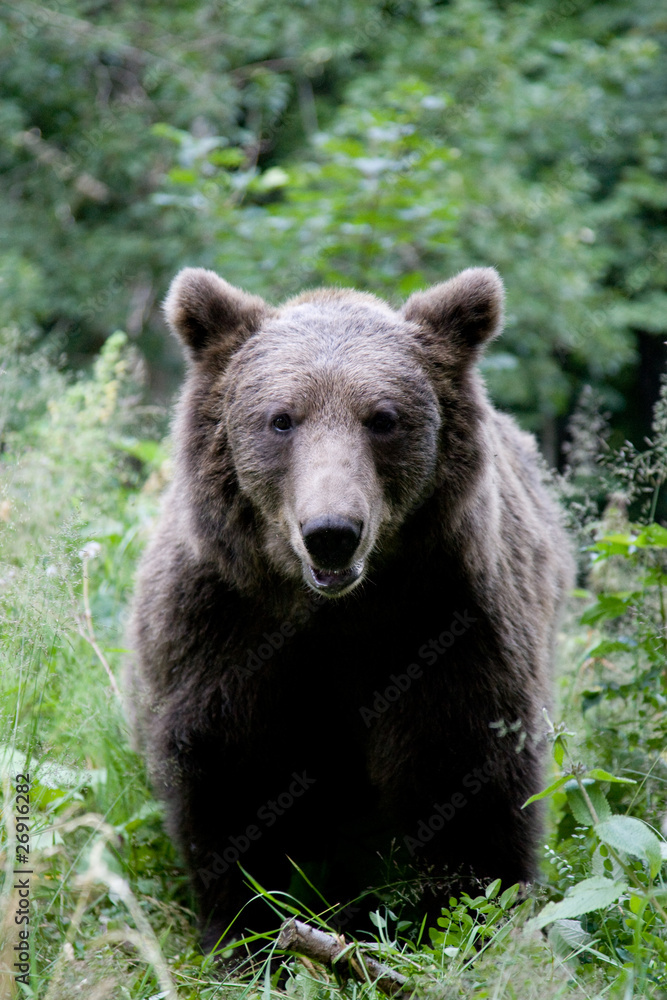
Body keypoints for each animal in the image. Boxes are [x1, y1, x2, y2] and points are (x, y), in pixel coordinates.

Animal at [125, 265, 573, 951]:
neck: (335, 612)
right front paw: (246, 933)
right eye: (282, 419)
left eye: (382, 418)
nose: (332, 532)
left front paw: (468, 922)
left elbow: (467, 771)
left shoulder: (447, 620)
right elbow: (230, 773)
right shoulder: (223, 624)